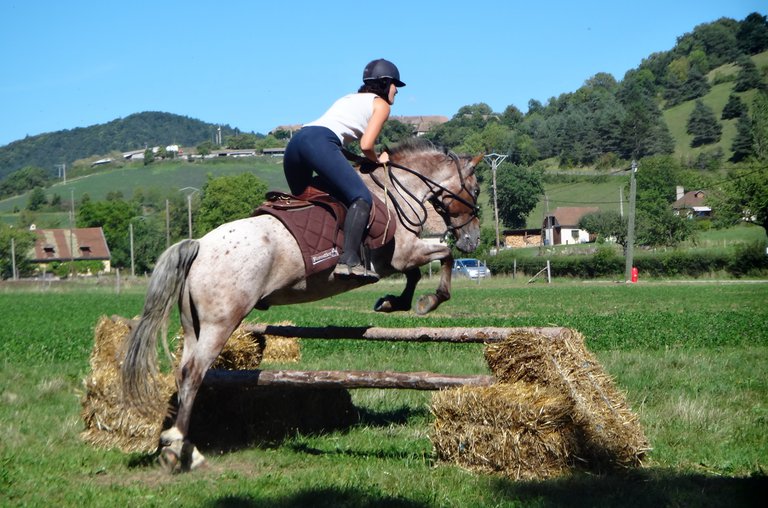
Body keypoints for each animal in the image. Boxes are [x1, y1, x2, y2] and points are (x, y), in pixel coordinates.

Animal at [121, 138, 483, 471]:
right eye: (477, 189)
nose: (473, 240)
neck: (397, 192)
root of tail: (197, 246)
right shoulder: (401, 254)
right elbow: (442, 258)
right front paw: (427, 301)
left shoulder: (398, 259)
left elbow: (419, 272)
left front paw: (393, 303)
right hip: (220, 323)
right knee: (195, 372)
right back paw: (179, 449)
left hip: (192, 325)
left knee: (183, 373)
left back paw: (180, 445)